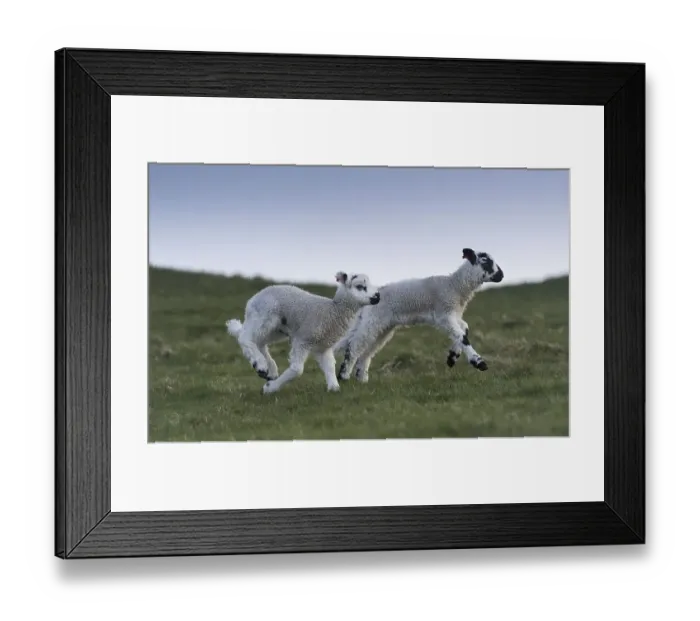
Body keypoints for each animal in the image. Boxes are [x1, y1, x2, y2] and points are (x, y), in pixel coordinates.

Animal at [226, 272, 381, 394]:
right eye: (360, 286)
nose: (378, 296)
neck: (332, 311)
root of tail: (252, 299)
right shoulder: (303, 339)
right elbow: (296, 369)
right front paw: (269, 388)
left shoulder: (323, 346)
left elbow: (330, 366)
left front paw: (333, 387)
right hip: (265, 316)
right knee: (245, 337)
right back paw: (261, 365)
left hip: (276, 329)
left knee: (259, 342)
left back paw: (269, 370)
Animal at [334, 248, 504, 383]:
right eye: (485, 261)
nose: (501, 275)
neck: (455, 286)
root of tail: (366, 300)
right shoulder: (444, 314)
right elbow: (462, 336)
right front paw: (479, 363)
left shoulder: (452, 315)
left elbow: (464, 329)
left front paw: (452, 357)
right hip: (373, 321)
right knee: (354, 345)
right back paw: (343, 376)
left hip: (383, 327)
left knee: (367, 351)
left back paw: (362, 379)